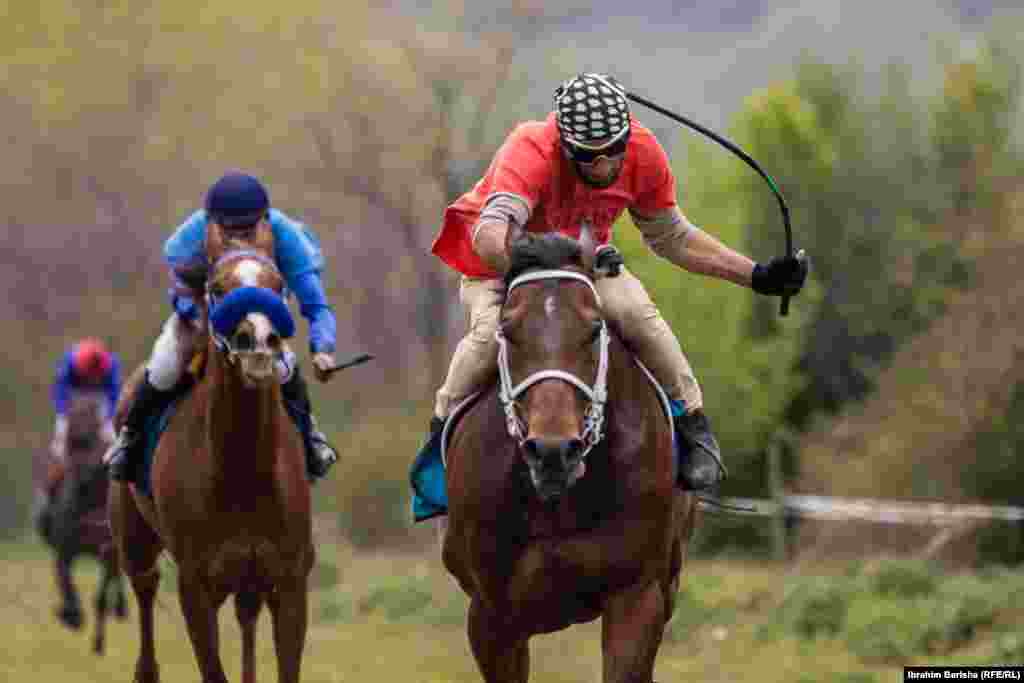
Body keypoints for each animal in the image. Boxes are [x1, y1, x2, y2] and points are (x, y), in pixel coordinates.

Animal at [39, 395, 126, 655]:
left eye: (91, 441)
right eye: (71, 442)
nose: (78, 484)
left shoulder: (108, 551)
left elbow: (100, 597)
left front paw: (98, 642)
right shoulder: (64, 549)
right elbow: (65, 582)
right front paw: (70, 615)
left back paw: (121, 608)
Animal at [110, 220, 313, 683]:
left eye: (278, 284)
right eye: (218, 287)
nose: (258, 343)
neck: (242, 470)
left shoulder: (290, 577)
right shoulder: (196, 583)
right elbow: (211, 668)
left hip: (249, 581)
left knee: (246, 616)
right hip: (134, 539)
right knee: (144, 588)